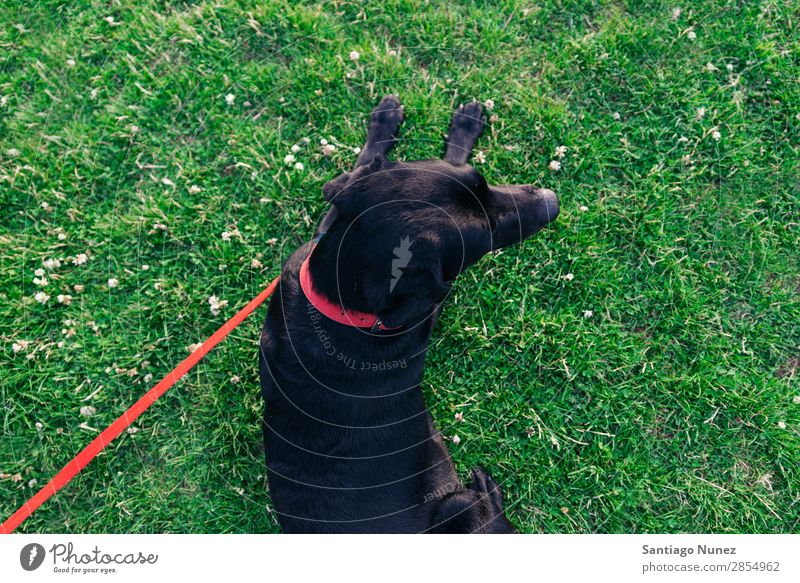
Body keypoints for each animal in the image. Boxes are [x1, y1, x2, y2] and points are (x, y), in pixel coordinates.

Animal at [260, 96, 560, 532]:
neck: (344, 306)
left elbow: (358, 168)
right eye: (485, 236)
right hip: (455, 510)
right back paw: (488, 492)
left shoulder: (328, 230)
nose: (553, 202)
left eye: (483, 182)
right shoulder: (430, 301)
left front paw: (397, 121)